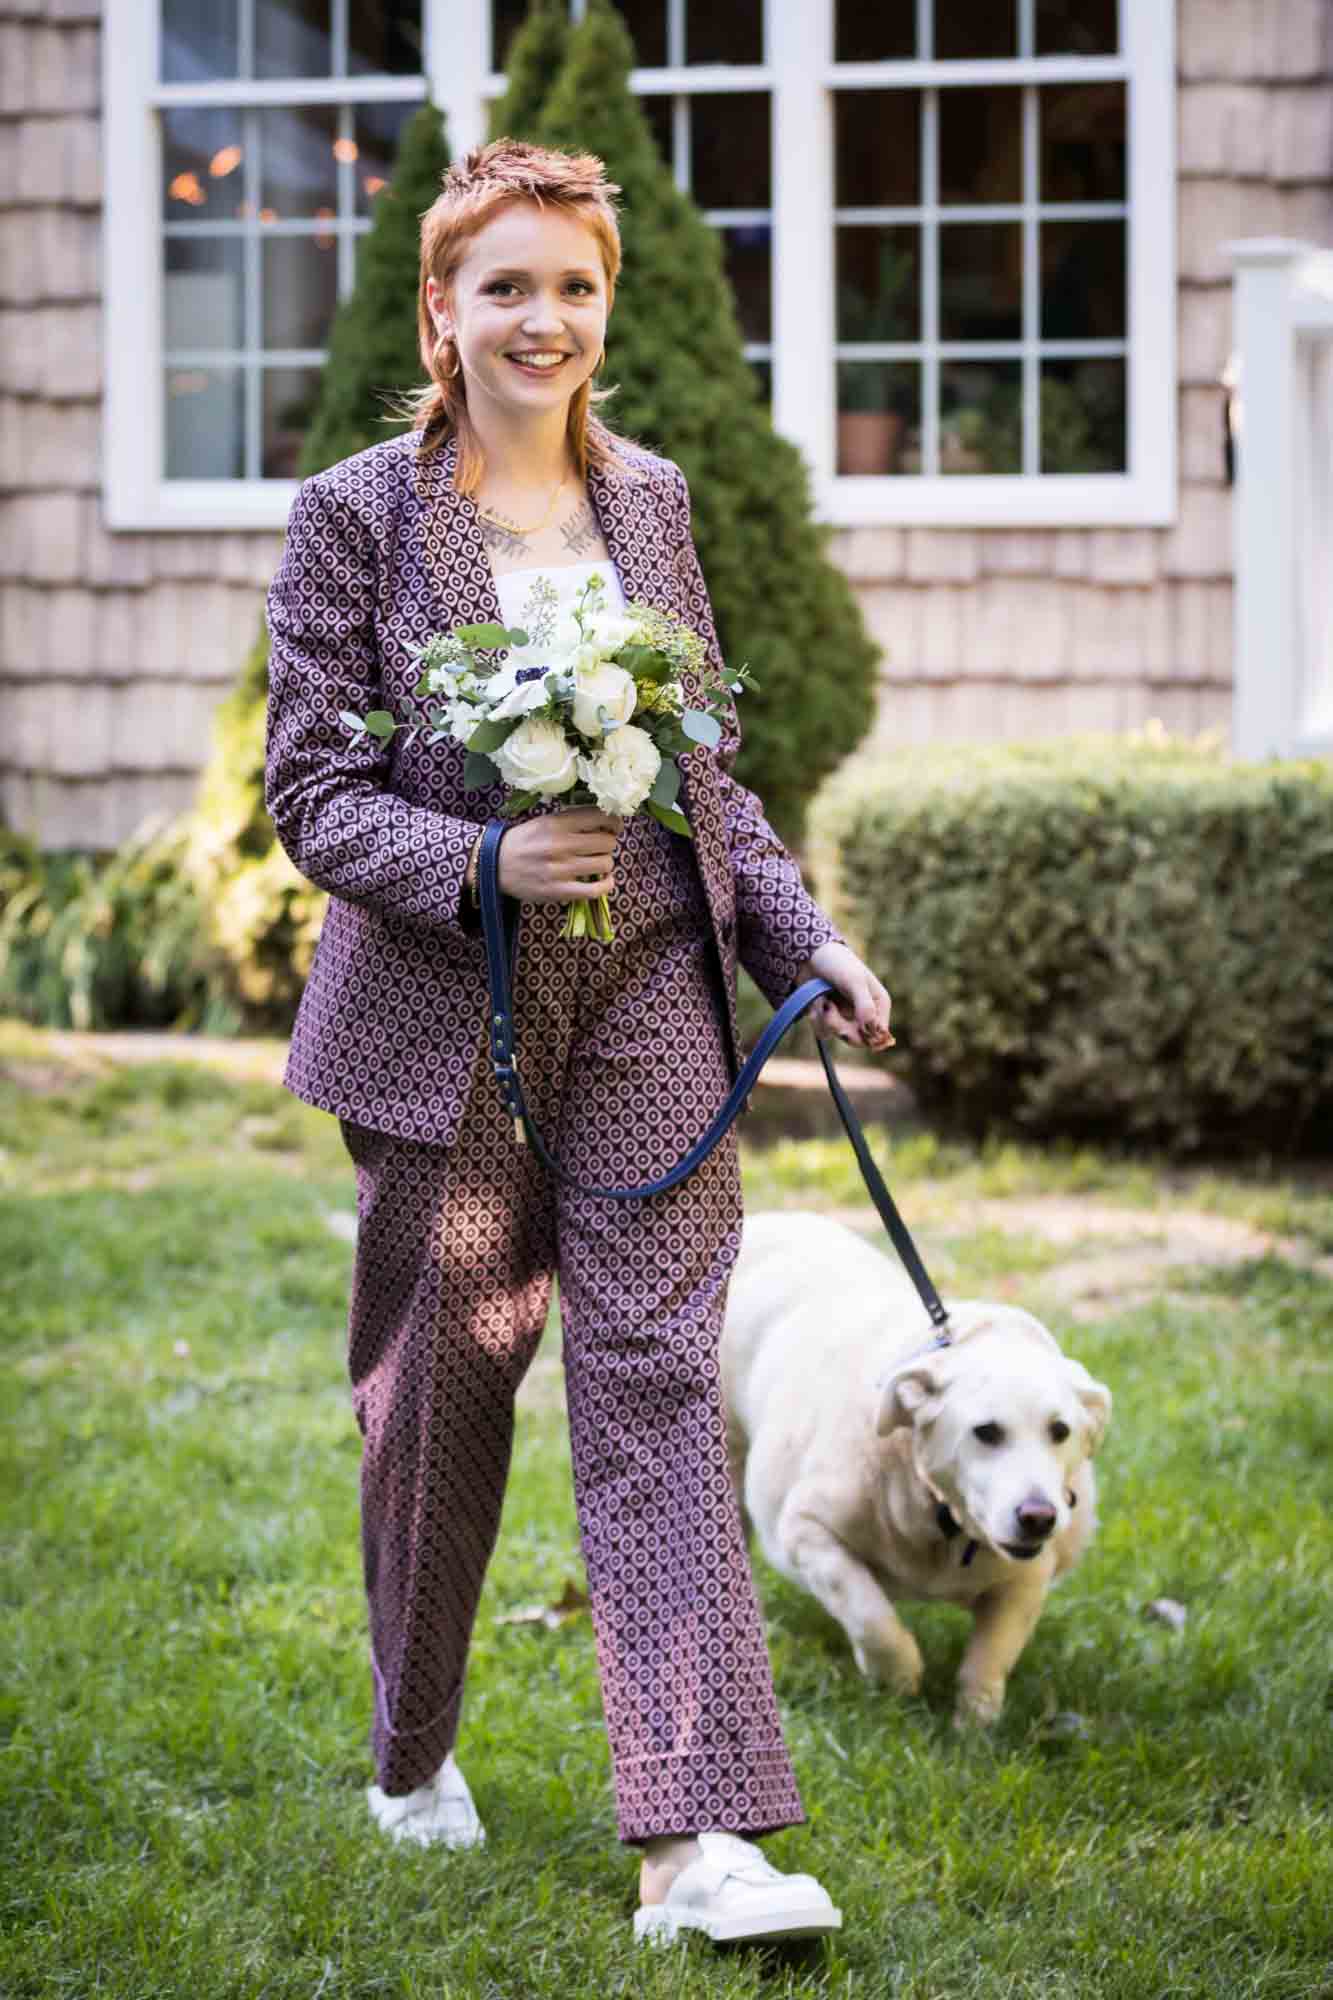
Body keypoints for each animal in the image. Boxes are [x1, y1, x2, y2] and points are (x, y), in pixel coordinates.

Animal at [720, 1208, 1104, 1728]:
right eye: (986, 1432)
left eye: (1060, 1431)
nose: (1038, 1517)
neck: (945, 1520)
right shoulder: (807, 1533)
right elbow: (869, 1613)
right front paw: (897, 1676)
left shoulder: (1027, 1578)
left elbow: (992, 1652)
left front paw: (975, 1723)